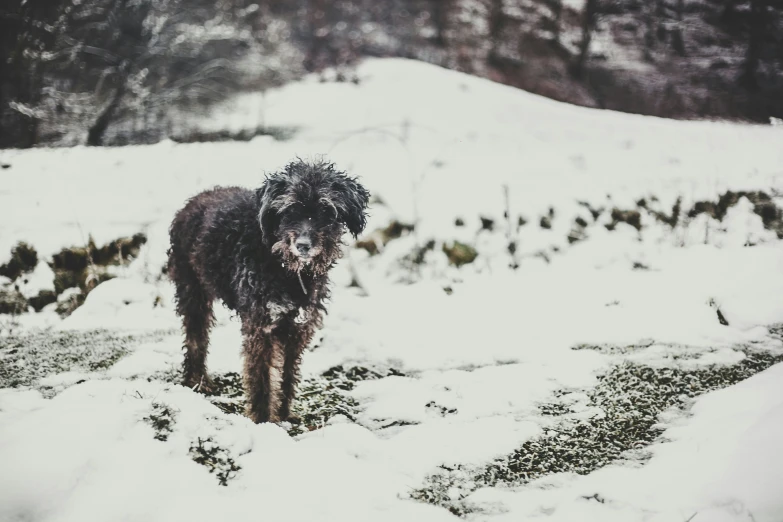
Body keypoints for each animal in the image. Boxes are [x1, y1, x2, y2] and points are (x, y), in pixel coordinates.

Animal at [168, 159, 370, 422]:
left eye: (326, 211)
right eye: (290, 210)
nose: (303, 245)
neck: (287, 269)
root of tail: (194, 200)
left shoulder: (298, 328)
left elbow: (287, 375)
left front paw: (284, 414)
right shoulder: (261, 327)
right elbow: (262, 379)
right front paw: (264, 422)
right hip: (193, 294)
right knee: (195, 340)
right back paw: (197, 382)